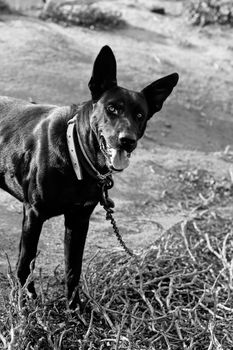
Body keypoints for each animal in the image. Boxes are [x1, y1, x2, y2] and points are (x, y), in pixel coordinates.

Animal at [0, 45, 178, 308]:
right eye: (112, 108)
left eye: (139, 115)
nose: (127, 140)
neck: (76, 151)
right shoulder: (34, 214)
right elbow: (26, 263)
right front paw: (27, 300)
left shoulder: (79, 219)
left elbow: (73, 268)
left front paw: (75, 308)